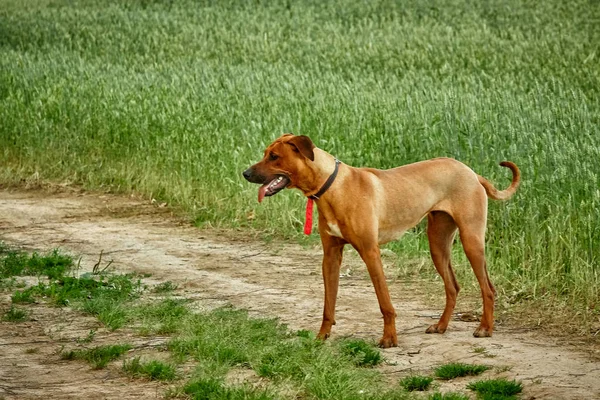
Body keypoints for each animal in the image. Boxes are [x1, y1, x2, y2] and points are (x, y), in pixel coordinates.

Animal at [241, 134, 516, 346]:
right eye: (266, 154)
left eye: (274, 156)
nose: (245, 173)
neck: (332, 187)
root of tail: (473, 173)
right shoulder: (330, 257)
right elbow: (328, 305)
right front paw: (322, 337)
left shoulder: (370, 252)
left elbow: (385, 303)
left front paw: (389, 339)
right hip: (437, 244)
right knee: (452, 286)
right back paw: (441, 325)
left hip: (471, 240)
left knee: (488, 288)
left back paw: (485, 328)